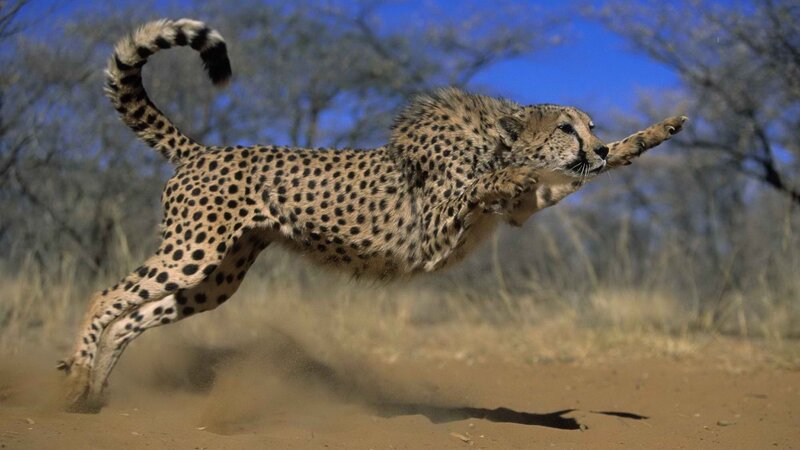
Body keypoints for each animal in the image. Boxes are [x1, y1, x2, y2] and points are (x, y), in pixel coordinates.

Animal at [57, 18, 687, 412]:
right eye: (565, 127)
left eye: (592, 126)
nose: (594, 147)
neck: (496, 142)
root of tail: (202, 149)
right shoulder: (435, 226)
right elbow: (495, 183)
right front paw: (522, 172)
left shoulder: (523, 209)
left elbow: (570, 177)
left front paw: (654, 133)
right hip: (193, 251)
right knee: (106, 296)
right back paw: (77, 379)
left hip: (218, 277)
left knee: (135, 316)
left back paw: (97, 391)